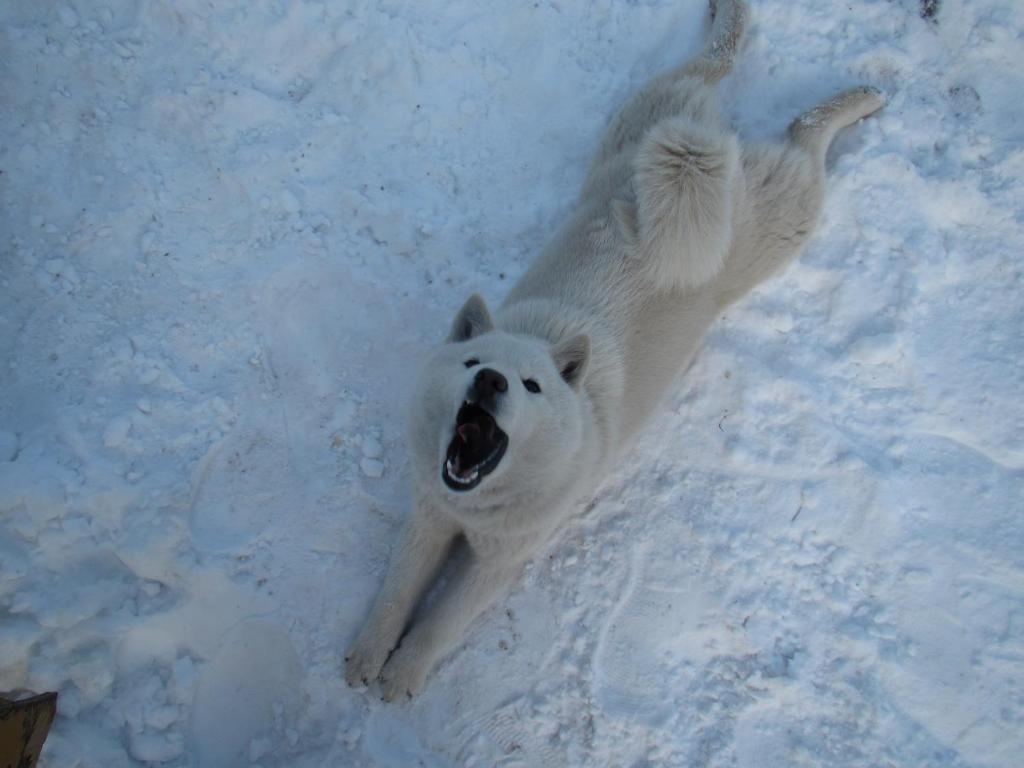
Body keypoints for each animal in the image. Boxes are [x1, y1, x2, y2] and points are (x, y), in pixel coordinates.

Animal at [344, 0, 880, 700]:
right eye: (472, 363)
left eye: (532, 386)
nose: (490, 382)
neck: (479, 505)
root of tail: (710, 159)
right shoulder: (429, 517)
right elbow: (396, 591)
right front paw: (366, 656)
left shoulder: (500, 563)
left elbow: (441, 621)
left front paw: (403, 676)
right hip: (647, 120)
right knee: (714, 69)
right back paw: (733, 20)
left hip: (779, 221)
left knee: (802, 133)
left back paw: (862, 98)